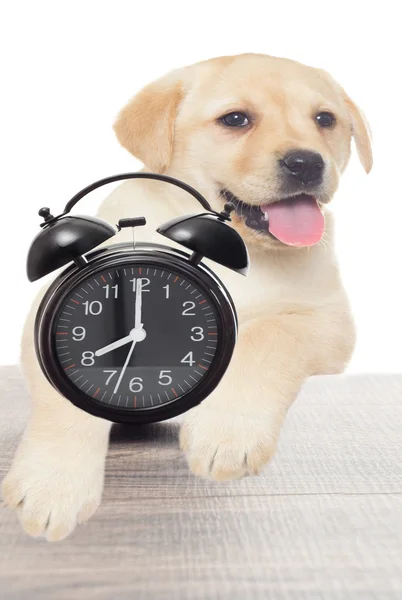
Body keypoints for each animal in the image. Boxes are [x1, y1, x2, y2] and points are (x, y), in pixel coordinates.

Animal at [1, 54, 372, 540]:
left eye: (325, 120)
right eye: (236, 119)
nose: (307, 163)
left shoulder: (329, 320)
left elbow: (267, 337)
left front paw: (226, 432)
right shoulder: (44, 322)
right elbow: (65, 396)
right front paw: (52, 483)